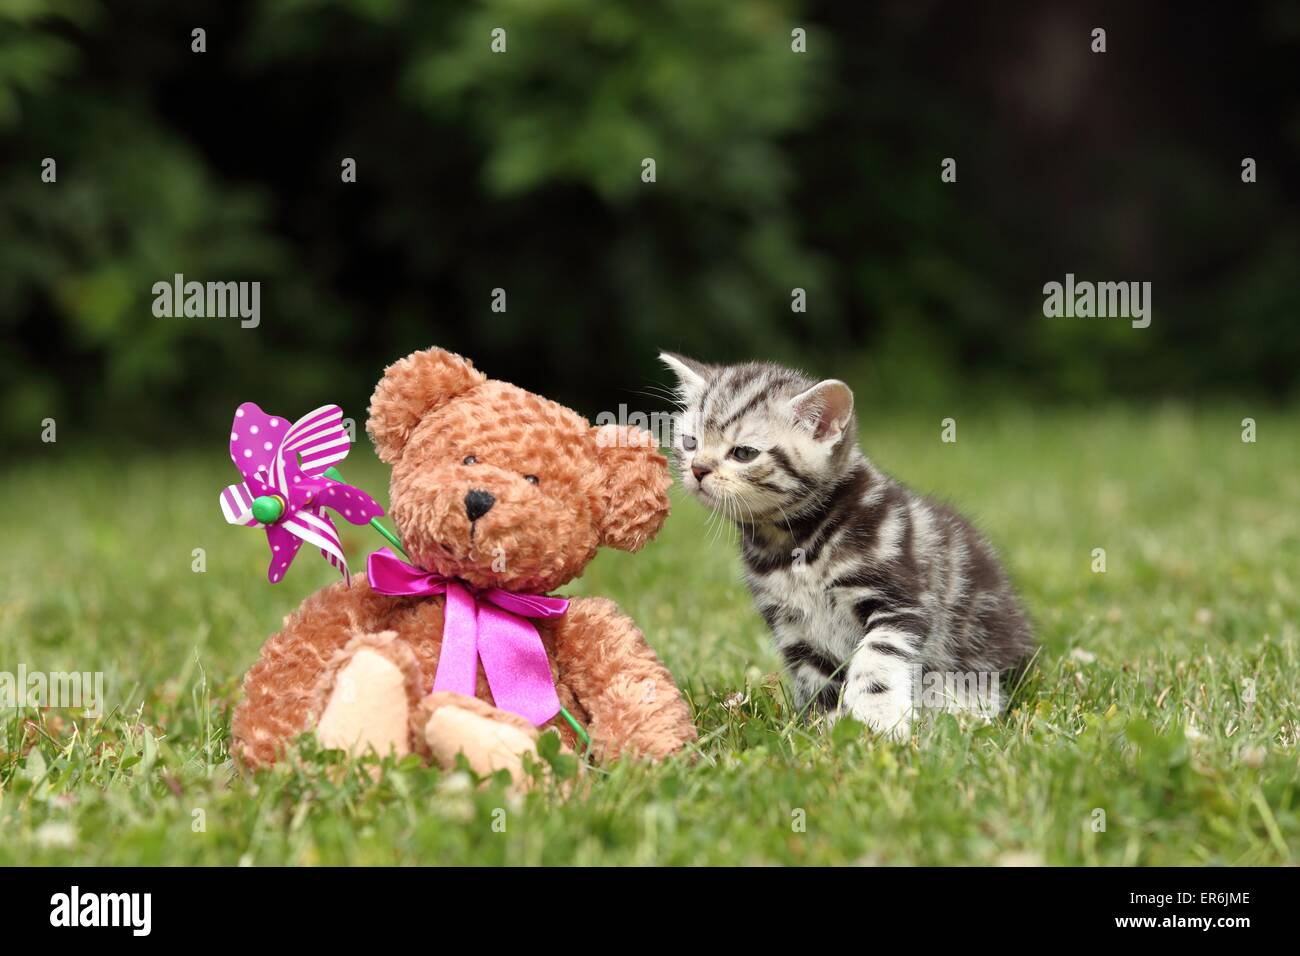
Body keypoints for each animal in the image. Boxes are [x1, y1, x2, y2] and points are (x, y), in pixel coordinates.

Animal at [660, 356, 1034, 738]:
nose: (698, 469)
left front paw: (879, 719)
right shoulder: (796, 629)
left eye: (744, 453)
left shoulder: (900, 600)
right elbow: (818, 681)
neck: (796, 545)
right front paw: (829, 731)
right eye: (690, 442)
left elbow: (876, 658)